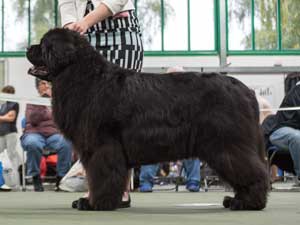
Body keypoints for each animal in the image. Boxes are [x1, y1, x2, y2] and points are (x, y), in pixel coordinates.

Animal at [27, 28, 268, 211]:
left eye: (44, 45)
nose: (28, 47)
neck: (84, 76)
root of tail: (246, 91)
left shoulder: (102, 147)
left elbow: (101, 176)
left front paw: (95, 204)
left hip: (226, 143)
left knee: (252, 171)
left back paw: (248, 203)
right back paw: (237, 200)